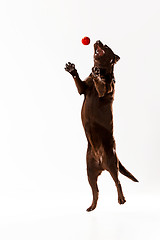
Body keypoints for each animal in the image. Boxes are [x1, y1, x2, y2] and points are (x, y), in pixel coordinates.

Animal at [64, 40, 138, 211]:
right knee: (95, 191)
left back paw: (121, 199)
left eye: (106, 46)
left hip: (112, 163)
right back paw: (92, 207)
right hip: (89, 172)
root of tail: (101, 163)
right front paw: (72, 70)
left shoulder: (106, 88)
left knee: (118, 182)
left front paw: (97, 75)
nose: (97, 41)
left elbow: (101, 85)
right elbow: (80, 83)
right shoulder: (83, 88)